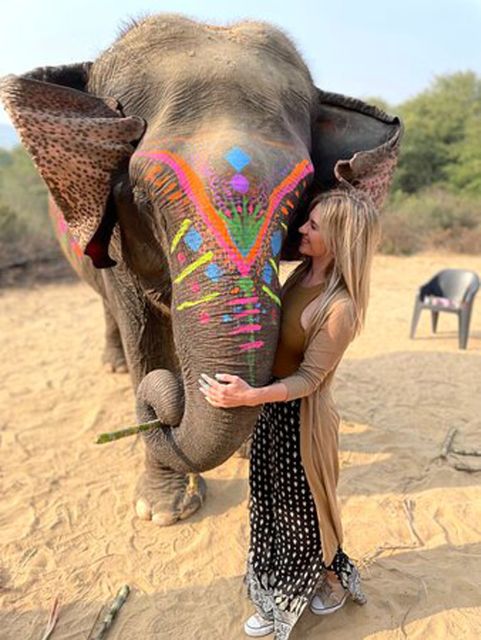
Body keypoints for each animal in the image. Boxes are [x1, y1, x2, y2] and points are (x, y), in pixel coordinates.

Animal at [0, 14, 402, 526]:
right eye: (144, 196)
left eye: (301, 195)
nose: (168, 408)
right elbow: (145, 337)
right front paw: (164, 510)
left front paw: (247, 450)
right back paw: (115, 365)